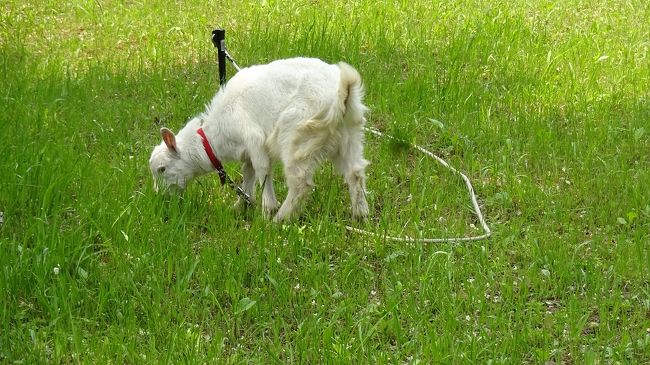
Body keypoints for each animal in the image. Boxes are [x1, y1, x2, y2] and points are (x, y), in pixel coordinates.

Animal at [149, 58, 368, 220]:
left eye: (162, 169)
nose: (160, 198)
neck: (214, 138)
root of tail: (341, 94)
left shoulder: (254, 139)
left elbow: (262, 170)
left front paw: (267, 208)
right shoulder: (246, 152)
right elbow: (248, 173)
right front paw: (241, 205)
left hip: (297, 135)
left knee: (300, 183)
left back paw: (280, 219)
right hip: (349, 135)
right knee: (355, 173)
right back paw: (360, 214)